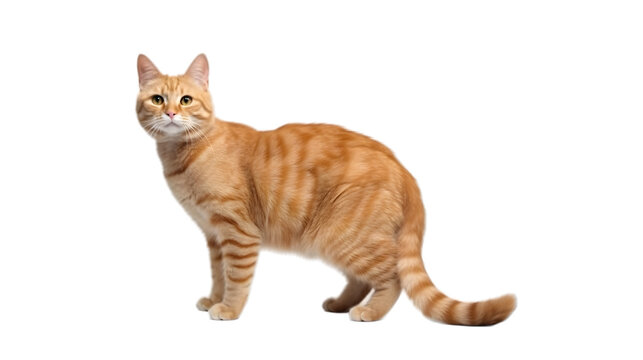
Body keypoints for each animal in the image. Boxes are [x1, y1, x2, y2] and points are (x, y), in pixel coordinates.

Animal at [136, 54, 520, 326]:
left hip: (343, 236)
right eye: (157, 99)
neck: (183, 155)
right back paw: (340, 304)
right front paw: (213, 299)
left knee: (392, 278)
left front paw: (228, 309)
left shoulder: (237, 232)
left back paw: (370, 312)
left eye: (186, 100)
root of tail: (403, 169)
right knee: (363, 280)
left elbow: (236, 278)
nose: (171, 113)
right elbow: (219, 275)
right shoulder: (214, 236)